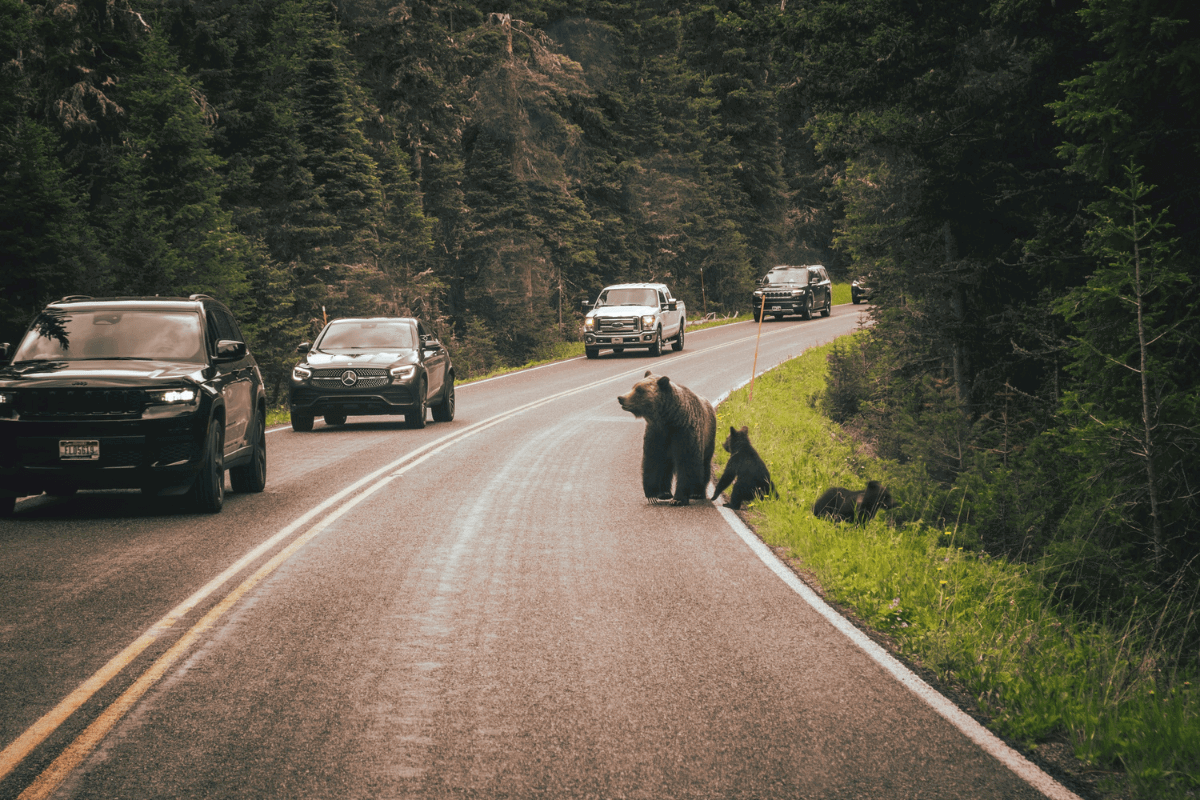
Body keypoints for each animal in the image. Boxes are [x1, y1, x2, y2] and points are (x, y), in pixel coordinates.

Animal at [619, 371, 710, 506]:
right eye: (634, 386)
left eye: (639, 390)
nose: (621, 398)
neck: (668, 419)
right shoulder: (657, 434)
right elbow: (653, 460)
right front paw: (652, 494)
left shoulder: (683, 433)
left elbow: (686, 463)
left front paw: (678, 499)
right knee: (666, 465)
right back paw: (664, 493)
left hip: (708, 439)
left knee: (704, 465)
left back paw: (698, 492)